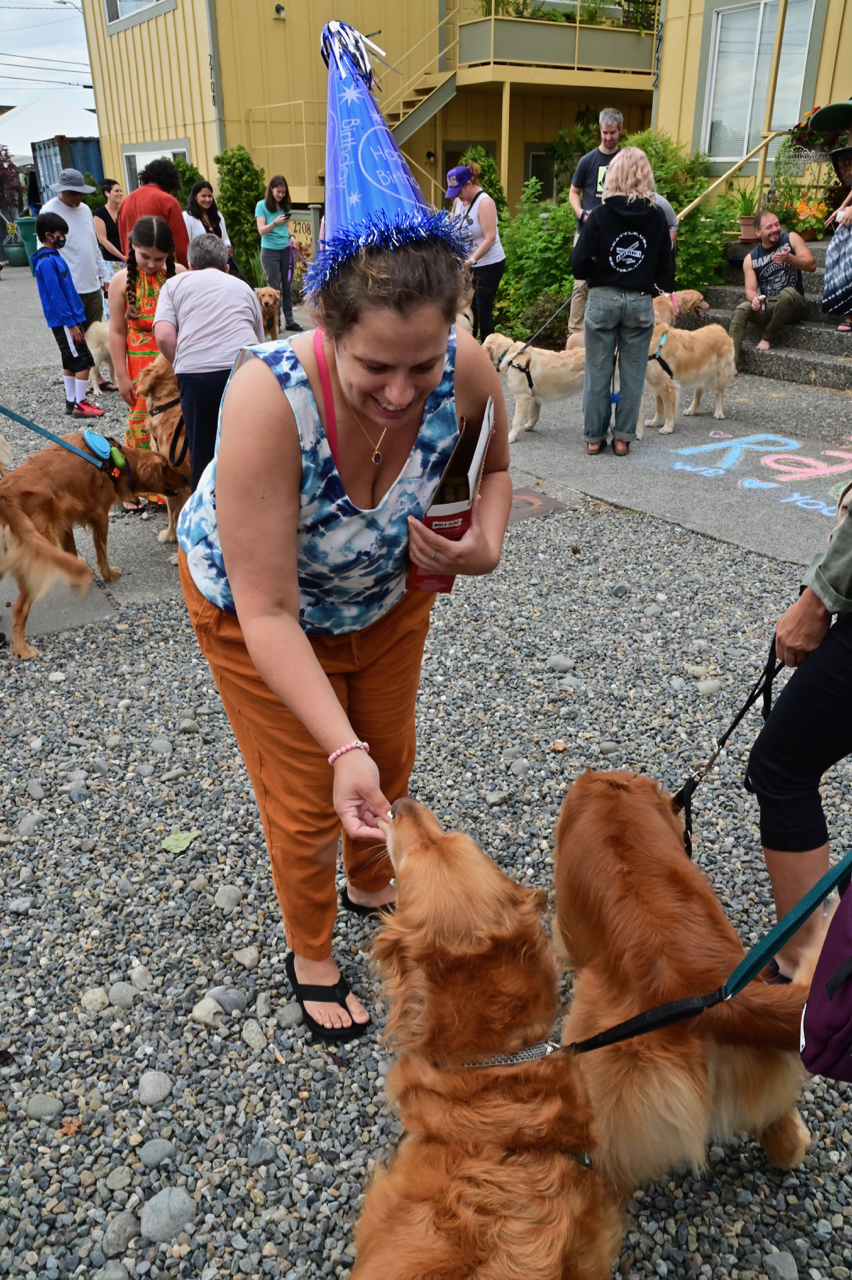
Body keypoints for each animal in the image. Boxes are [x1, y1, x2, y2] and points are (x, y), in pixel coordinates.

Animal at [0, 437, 185, 660]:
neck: (117, 461)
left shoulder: (65, 521)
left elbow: (71, 553)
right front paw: (109, 574)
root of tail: (6, 502)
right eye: (166, 467)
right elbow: (102, 552)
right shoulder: (100, 516)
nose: (187, 478)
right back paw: (22, 649)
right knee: (19, 609)